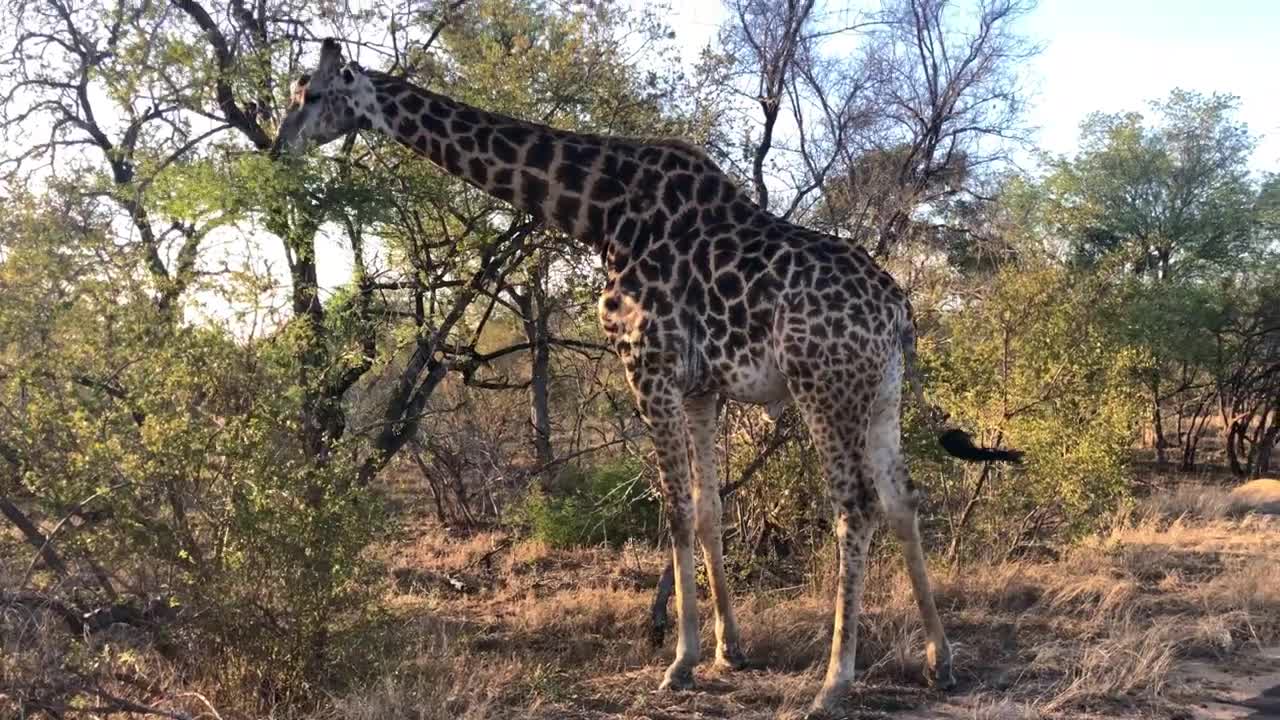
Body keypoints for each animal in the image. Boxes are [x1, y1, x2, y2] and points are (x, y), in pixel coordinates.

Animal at [275, 40, 1024, 712]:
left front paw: (681, 663)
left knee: (856, 506)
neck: (598, 212)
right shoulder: (701, 389)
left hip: (824, 387)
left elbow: (676, 509)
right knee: (902, 498)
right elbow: (711, 508)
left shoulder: (648, 367)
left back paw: (833, 684)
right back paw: (940, 660)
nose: (278, 147)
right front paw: (728, 649)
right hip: (879, 392)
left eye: (309, 94)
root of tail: (899, 306)